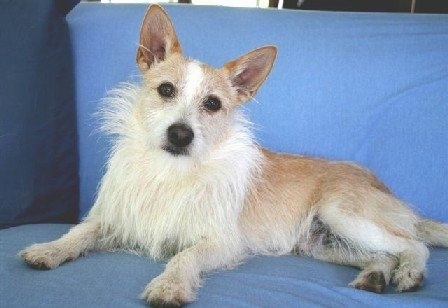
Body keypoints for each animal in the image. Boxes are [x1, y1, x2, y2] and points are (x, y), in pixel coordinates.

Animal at [20, 3, 448, 306]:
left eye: (212, 104)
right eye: (165, 90)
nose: (180, 134)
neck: (172, 171)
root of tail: (385, 190)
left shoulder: (221, 243)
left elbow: (185, 257)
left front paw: (170, 285)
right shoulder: (114, 219)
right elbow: (79, 232)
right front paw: (50, 248)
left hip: (343, 215)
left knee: (413, 246)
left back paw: (409, 273)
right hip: (325, 243)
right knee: (384, 254)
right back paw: (375, 276)